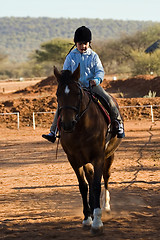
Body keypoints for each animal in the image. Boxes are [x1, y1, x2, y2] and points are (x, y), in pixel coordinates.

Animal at [54, 64, 122, 233]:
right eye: (58, 94)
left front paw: (97, 221)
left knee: (106, 177)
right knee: (90, 180)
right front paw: (87, 217)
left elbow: (97, 186)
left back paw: (106, 207)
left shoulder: (98, 157)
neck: (81, 128)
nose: (67, 124)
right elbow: (84, 186)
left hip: (109, 156)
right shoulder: (74, 158)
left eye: (78, 93)